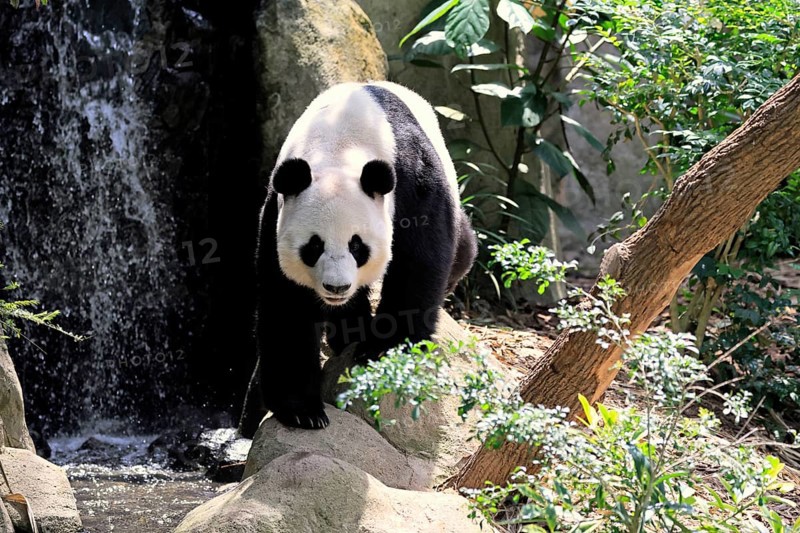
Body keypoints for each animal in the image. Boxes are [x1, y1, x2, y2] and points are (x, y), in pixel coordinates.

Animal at [243, 81, 477, 434]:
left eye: (357, 246)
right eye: (313, 247)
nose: (336, 287)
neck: (338, 146)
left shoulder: (412, 181)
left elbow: (418, 263)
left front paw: (384, 348)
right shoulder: (277, 211)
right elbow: (285, 299)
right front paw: (302, 410)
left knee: (462, 248)